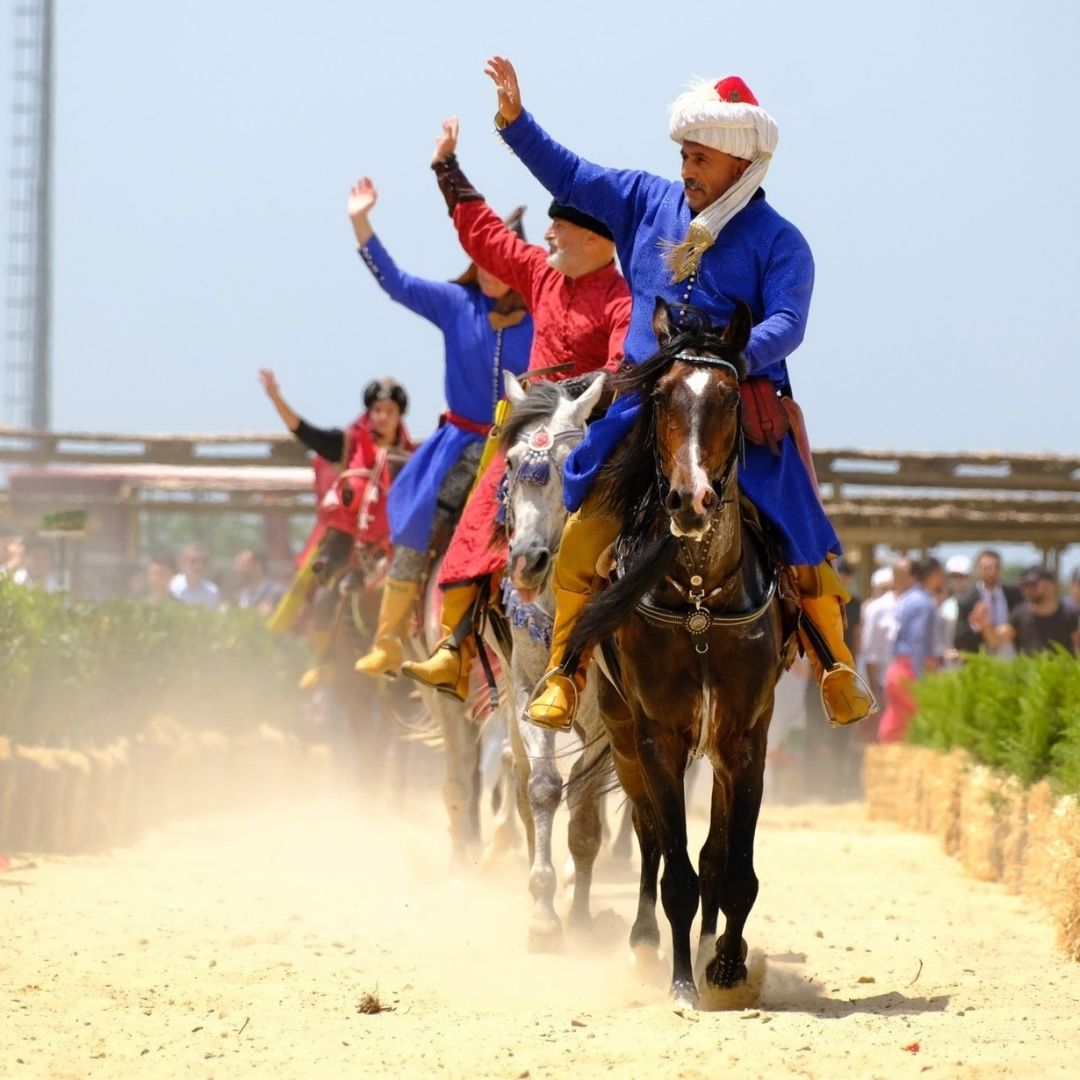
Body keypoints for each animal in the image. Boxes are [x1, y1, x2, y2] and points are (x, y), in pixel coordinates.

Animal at [570, 300, 799, 1006]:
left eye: (729, 397)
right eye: (661, 396)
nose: (690, 500)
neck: (700, 598)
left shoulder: (745, 736)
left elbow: (733, 867)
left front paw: (725, 965)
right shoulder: (657, 736)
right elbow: (674, 870)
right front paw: (680, 983)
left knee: (711, 853)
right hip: (621, 735)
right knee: (649, 840)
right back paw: (648, 941)